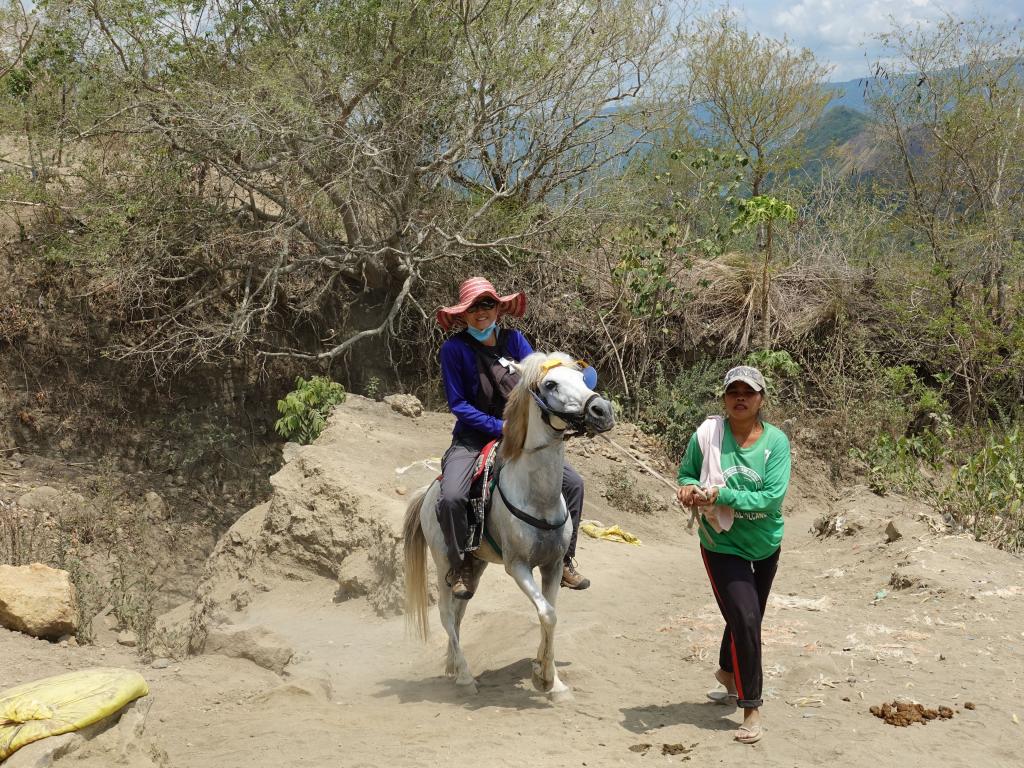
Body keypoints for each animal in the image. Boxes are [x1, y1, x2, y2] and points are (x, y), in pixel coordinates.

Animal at [401, 354, 610, 696]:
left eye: (583, 378)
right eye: (550, 384)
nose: (602, 410)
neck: (538, 497)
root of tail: (428, 491)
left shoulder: (552, 566)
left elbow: (551, 614)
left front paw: (550, 677)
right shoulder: (518, 566)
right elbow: (547, 613)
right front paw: (544, 677)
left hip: (475, 566)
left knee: (458, 613)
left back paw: (452, 666)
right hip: (444, 560)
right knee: (446, 615)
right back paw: (465, 677)